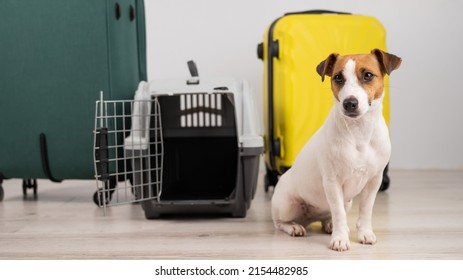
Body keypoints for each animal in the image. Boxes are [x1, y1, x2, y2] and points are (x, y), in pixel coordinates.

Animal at [272, 48, 402, 252]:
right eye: (338, 77)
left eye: (368, 75)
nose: (350, 103)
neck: (359, 132)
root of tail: (310, 218)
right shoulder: (332, 182)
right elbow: (339, 213)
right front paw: (340, 238)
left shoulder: (374, 180)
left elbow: (366, 210)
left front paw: (364, 233)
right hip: (287, 205)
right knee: (279, 222)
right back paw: (294, 227)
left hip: (346, 202)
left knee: (328, 216)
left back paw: (329, 224)